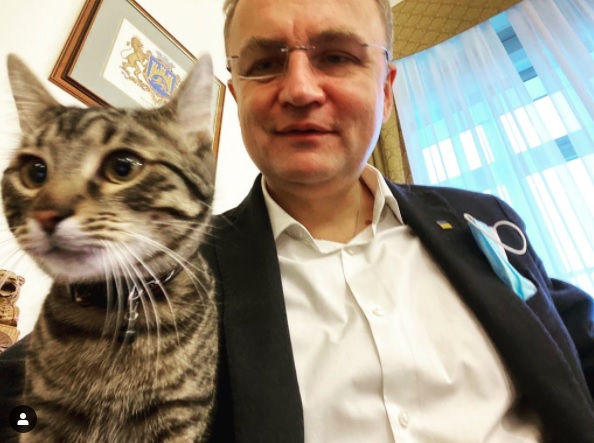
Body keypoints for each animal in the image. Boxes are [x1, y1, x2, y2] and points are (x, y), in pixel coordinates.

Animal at [2, 54, 218, 442]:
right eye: (35, 171)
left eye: (123, 167)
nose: (47, 214)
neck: (115, 307)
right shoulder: (43, 410)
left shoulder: (181, 415)